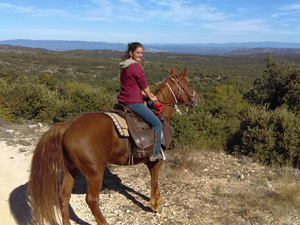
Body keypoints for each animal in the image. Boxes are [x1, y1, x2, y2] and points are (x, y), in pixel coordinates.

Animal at [27, 66, 199, 224]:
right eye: (188, 84)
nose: (196, 99)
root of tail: (67, 125)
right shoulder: (156, 160)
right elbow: (154, 180)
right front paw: (155, 203)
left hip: (70, 168)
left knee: (64, 196)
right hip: (94, 173)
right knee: (91, 200)